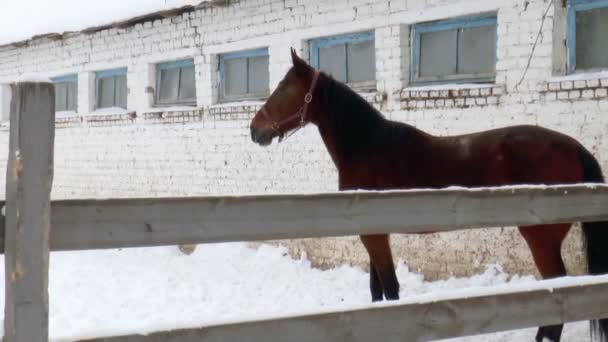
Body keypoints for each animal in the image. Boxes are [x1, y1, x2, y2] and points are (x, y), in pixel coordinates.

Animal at [248, 48, 608, 342]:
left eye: (284, 89)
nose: (254, 130)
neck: (368, 147)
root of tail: (573, 147)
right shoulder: (372, 233)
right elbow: (376, 291)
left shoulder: (375, 235)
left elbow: (390, 290)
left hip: (540, 237)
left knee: (558, 289)